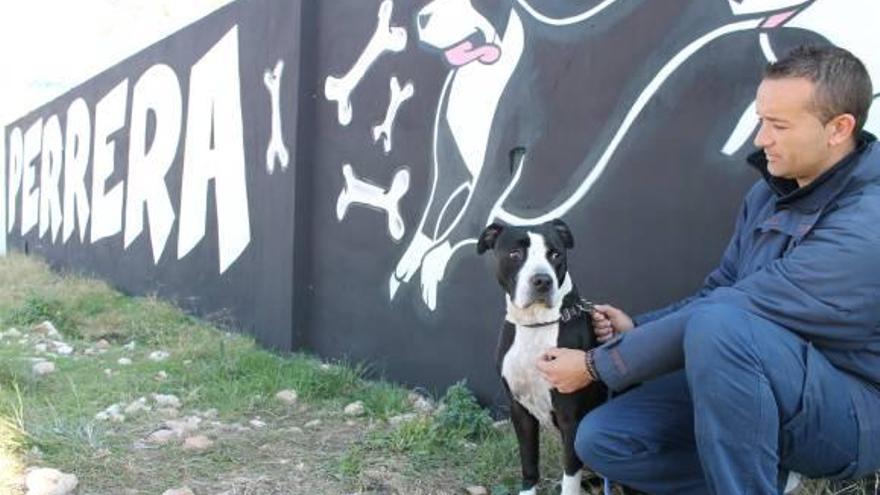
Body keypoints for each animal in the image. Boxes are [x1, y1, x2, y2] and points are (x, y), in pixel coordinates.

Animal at [478, 221, 608, 495]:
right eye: (515, 254)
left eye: (555, 254)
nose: (542, 280)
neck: (536, 324)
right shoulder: (519, 410)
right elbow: (528, 462)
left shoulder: (572, 417)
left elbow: (570, 478)